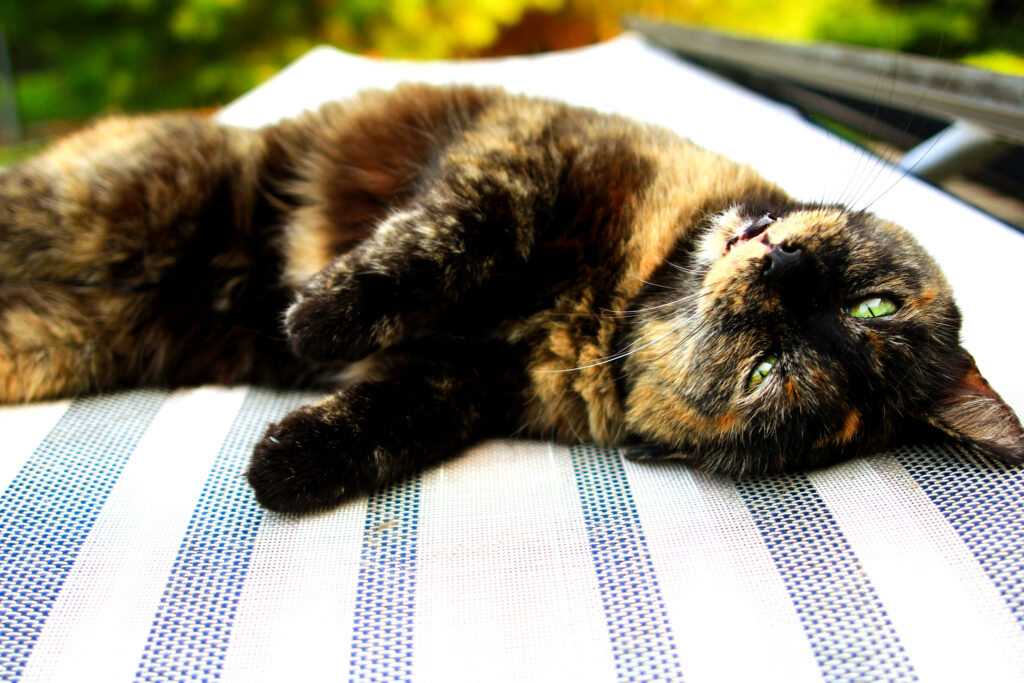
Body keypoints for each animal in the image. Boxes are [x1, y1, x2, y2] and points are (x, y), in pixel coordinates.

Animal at [2, 83, 1024, 511]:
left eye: (771, 373)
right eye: (874, 307)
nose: (787, 275)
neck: (614, 300)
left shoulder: (461, 376)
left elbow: (387, 421)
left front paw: (288, 467)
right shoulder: (522, 154)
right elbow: (439, 242)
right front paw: (316, 321)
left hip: (59, 338)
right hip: (89, 203)